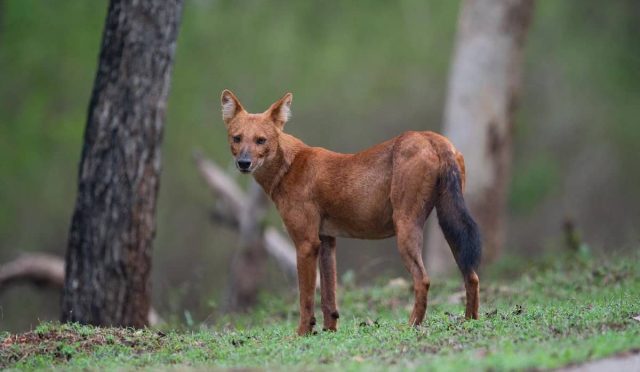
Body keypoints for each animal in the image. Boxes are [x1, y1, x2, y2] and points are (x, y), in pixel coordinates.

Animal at [220, 89, 480, 334]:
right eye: (237, 138)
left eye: (261, 140)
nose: (243, 163)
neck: (288, 166)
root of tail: (432, 137)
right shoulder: (326, 240)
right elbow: (329, 297)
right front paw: (328, 332)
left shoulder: (306, 242)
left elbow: (306, 298)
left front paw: (302, 333)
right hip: (450, 223)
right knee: (471, 275)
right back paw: (470, 321)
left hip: (406, 225)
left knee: (423, 279)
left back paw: (411, 325)